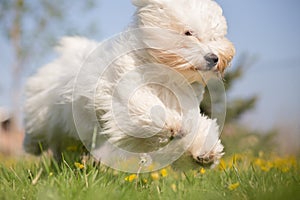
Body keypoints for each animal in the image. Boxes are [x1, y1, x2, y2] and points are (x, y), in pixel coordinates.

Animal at [22, 0, 234, 169]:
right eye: (188, 33)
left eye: (214, 37)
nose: (214, 58)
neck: (166, 75)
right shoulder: (124, 92)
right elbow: (146, 108)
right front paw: (171, 123)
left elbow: (193, 130)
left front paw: (205, 152)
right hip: (44, 111)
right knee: (38, 129)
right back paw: (31, 145)